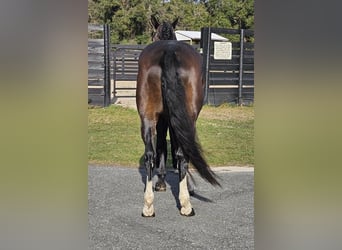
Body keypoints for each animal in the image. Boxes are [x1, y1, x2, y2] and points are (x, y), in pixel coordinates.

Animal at [135, 17, 220, 217]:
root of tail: (169, 51)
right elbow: (175, 148)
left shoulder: (163, 119)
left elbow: (160, 147)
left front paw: (160, 183)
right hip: (187, 117)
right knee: (182, 153)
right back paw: (186, 205)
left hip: (147, 116)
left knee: (149, 154)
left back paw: (148, 206)